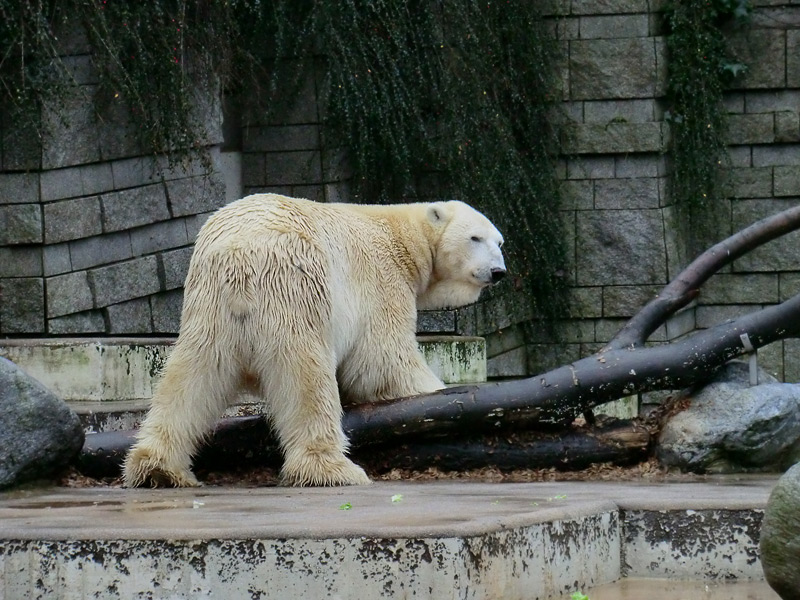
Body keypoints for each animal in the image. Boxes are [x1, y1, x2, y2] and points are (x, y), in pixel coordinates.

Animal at [122, 195, 504, 490]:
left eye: (499, 243)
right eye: (475, 237)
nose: (498, 272)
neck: (402, 237)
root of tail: (240, 252)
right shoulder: (382, 281)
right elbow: (383, 362)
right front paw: (438, 394)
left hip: (209, 306)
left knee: (191, 376)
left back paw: (157, 467)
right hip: (294, 287)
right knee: (307, 379)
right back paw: (332, 468)